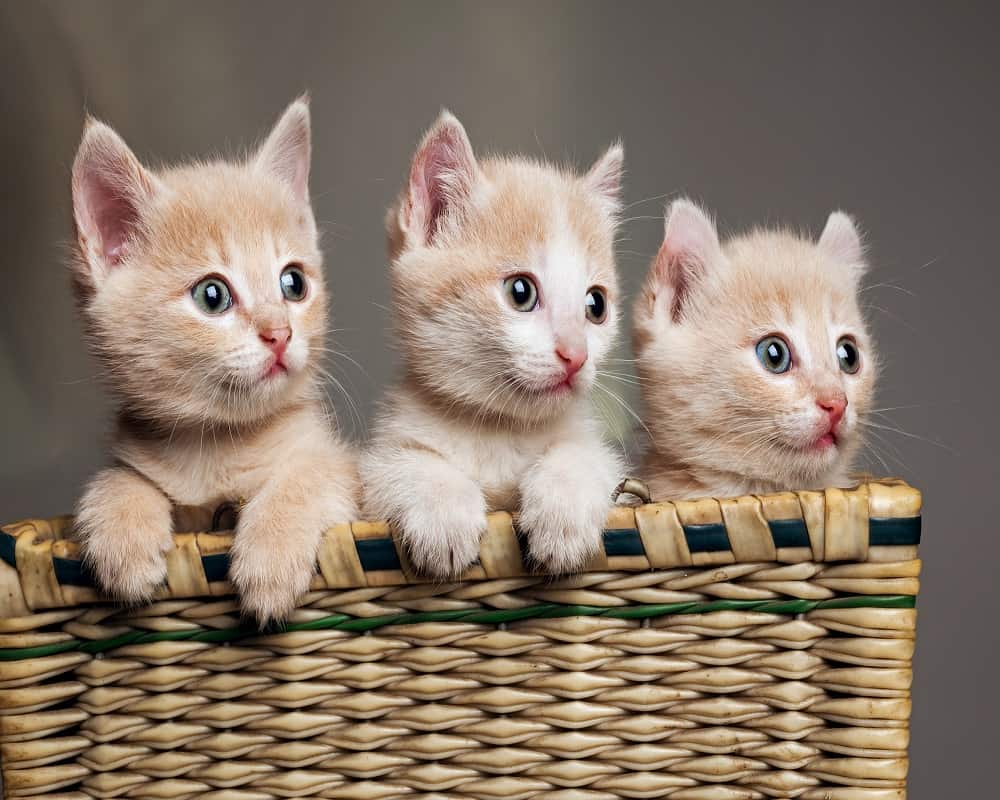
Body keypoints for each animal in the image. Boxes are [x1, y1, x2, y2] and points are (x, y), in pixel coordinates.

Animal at [71, 98, 360, 624]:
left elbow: (305, 478)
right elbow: (119, 478)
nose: (279, 334)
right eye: (212, 295)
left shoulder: (338, 463)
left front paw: (270, 559)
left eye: (293, 284)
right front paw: (123, 536)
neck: (216, 445)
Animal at [360, 111, 624, 576]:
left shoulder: (606, 461)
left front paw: (563, 512)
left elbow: (585, 456)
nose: (576, 355)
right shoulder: (375, 468)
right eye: (521, 292)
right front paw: (444, 514)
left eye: (596, 305)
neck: (500, 429)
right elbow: (405, 463)